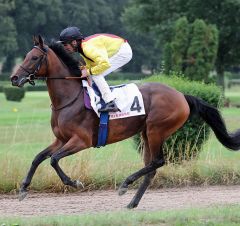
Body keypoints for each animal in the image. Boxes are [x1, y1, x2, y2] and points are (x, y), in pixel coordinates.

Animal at [10, 34, 240, 208]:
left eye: (34, 57)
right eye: (26, 55)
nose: (14, 78)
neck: (69, 98)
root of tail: (182, 95)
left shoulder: (81, 141)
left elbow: (54, 160)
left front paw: (74, 182)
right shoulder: (61, 139)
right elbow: (38, 158)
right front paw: (23, 189)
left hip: (156, 130)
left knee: (157, 161)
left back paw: (125, 184)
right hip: (147, 133)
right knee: (152, 167)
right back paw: (132, 203)